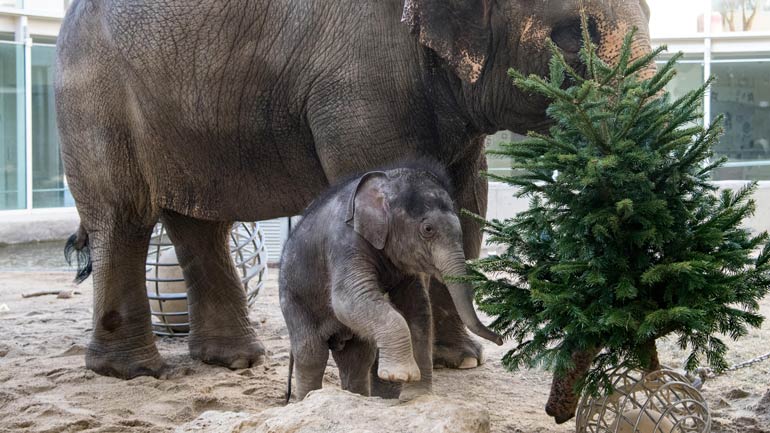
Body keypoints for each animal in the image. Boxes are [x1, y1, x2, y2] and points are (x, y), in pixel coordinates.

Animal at [280, 163, 500, 402]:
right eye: (428, 229)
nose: (500, 340)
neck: (385, 182)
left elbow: (418, 308)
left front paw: (416, 395)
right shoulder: (343, 242)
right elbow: (347, 299)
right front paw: (400, 375)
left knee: (357, 358)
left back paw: (358, 397)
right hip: (294, 299)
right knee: (311, 353)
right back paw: (308, 399)